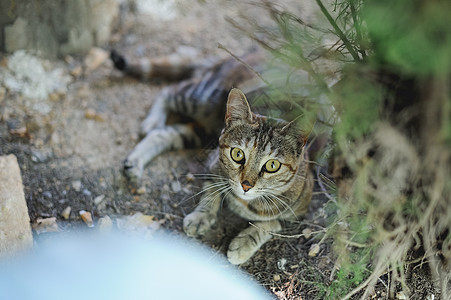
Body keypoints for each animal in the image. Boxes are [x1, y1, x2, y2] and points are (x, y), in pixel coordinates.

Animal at [110, 50, 314, 264]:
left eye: (272, 165)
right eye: (237, 154)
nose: (246, 185)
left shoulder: (300, 215)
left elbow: (272, 224)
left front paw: (244, 243)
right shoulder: (213, 161)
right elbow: (211, 188)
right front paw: (202, 216)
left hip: (203, 129)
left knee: (164, 133)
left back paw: (135, 162)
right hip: (204, 96)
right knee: (168, 91)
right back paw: (152, 121)